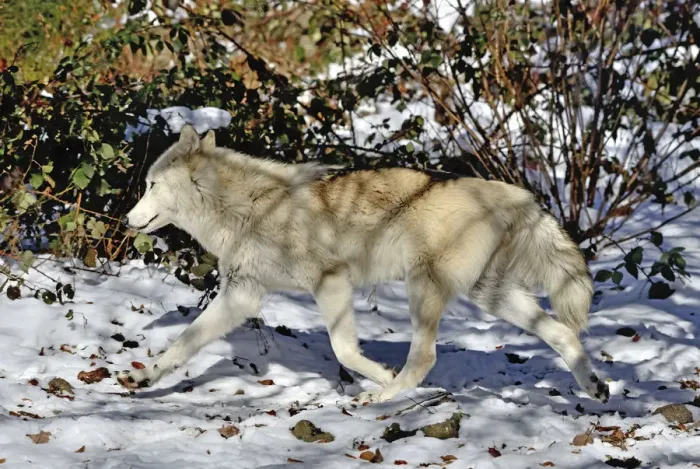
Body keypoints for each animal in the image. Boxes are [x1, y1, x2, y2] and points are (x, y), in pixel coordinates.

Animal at [119, 125, 609, 404]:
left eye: (152, 186)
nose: (126, 220)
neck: (250, 208)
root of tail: (513, 192)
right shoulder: (241, 296)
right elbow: (182, 344)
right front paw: (144, 378)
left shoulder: (330, 282)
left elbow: (344, 350)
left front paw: (377, 375)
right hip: (490, 296)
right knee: (563, 333)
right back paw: (596, 387)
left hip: (424, 290)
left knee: (425, 357)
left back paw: (381, 397)